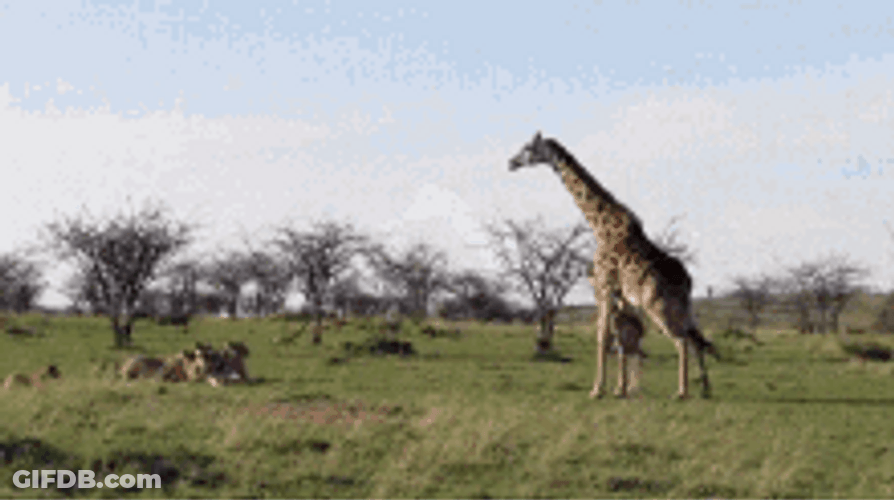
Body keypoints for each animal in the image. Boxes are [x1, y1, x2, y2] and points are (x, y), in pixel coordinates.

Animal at [509, 132, 719, 399]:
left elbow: (604, 337)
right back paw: (705, 389)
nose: (511, 162)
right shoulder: (621, 295)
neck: (600, 227)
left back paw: (682, 392)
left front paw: (597, 390)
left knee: (681, 340)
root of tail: (688, 282)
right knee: (696, 339)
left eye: (528, 148)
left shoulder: (603, 285)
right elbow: (621, 340)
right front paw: (620, 389)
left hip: (657, 306)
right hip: (683, 308)